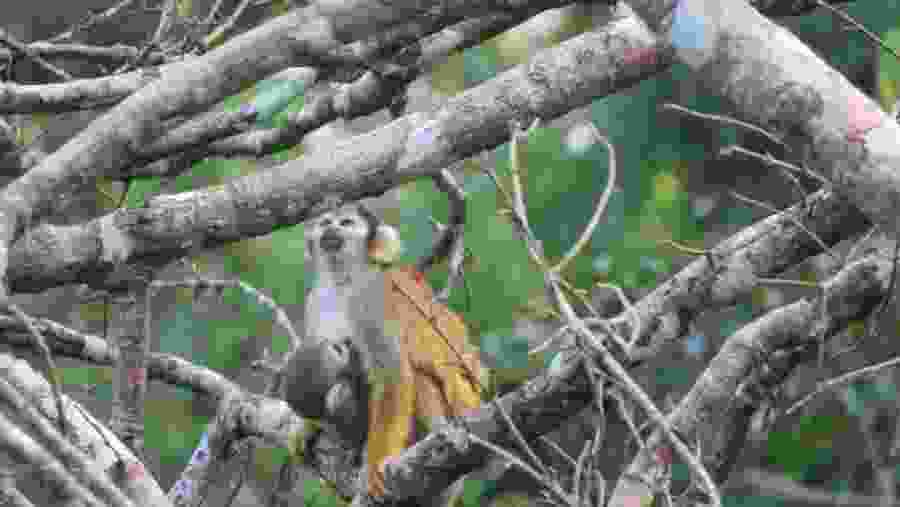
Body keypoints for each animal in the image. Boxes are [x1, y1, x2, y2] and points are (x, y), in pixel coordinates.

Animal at [282, 202, 484, 507]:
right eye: (326, 222)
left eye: (346, 223)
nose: (331, 231)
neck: (343, 280)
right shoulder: (315, 298)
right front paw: (306, 428)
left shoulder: (369, 298)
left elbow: (393, 373)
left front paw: (374, 467)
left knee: (418, 370)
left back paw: (440, 433)